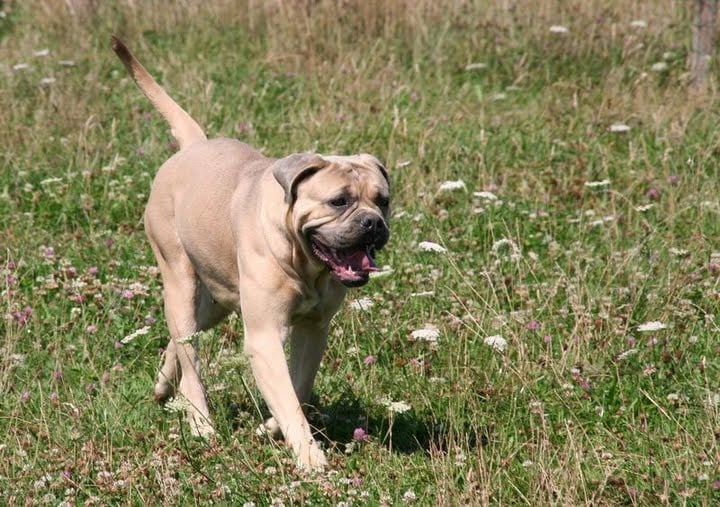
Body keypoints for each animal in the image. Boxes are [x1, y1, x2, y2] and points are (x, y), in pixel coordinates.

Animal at [112, 36, 390, 472]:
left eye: (383, 200)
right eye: (339, 201)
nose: (373, 223)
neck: (301, 260)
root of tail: (195, 145)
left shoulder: (314, 329)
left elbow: (298, 387)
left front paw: (270, 427)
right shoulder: (265, 336)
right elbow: (288, 395)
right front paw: (310, 459)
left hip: (217, 301)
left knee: (181, 339)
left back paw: (163, 384)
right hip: (179, 279)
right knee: (190, 355)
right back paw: (200, 422)